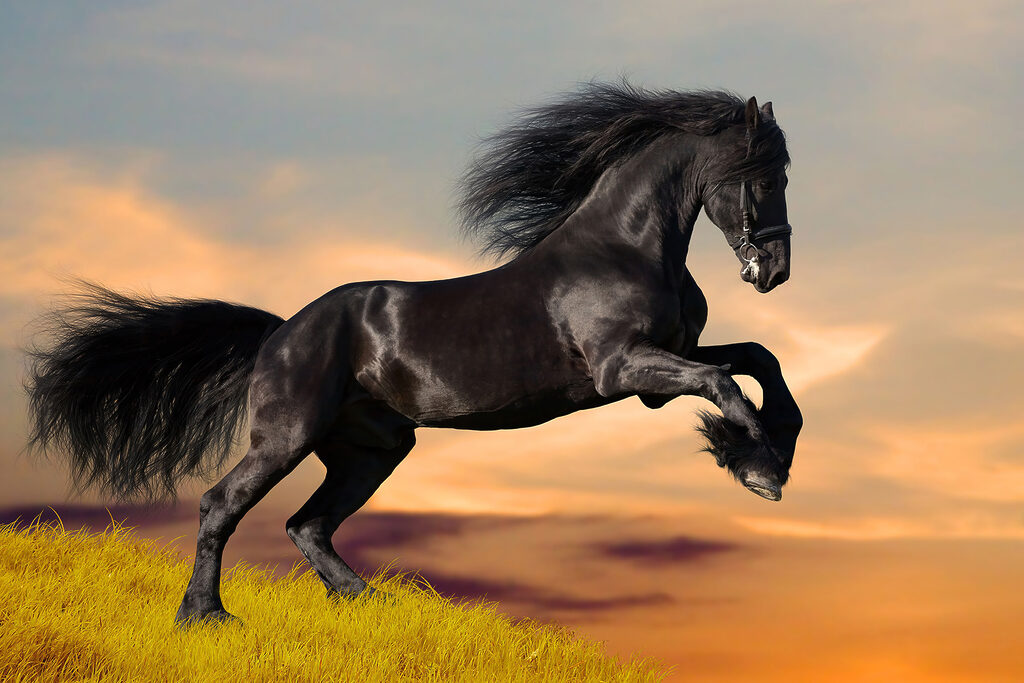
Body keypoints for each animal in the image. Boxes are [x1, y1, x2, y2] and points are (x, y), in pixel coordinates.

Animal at [25, 82, 802, 626]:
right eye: (766, 176)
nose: (774, 270)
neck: (624, 247)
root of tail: (279, 333)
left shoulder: (662, 368)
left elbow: (758, 360)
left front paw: (774, 450)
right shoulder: (624, 370)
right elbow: (725, 383)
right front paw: (758, 469)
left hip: (372, 449)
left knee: (307, 525)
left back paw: (372, 605)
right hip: (288, 435)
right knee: (223, 505)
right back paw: (205, 616)